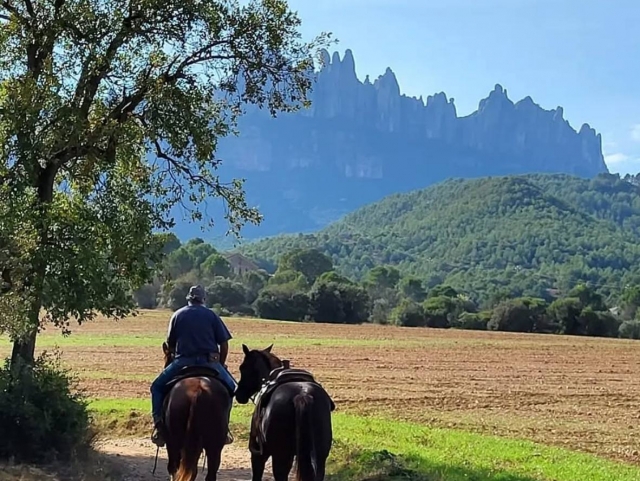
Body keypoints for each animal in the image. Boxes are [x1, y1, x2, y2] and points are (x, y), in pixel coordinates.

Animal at [235, 344, 334, 481]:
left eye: (242, 367)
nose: (238, 394)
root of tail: (302, 395)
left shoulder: (258, 455)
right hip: (319, 458)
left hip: (281, 457)